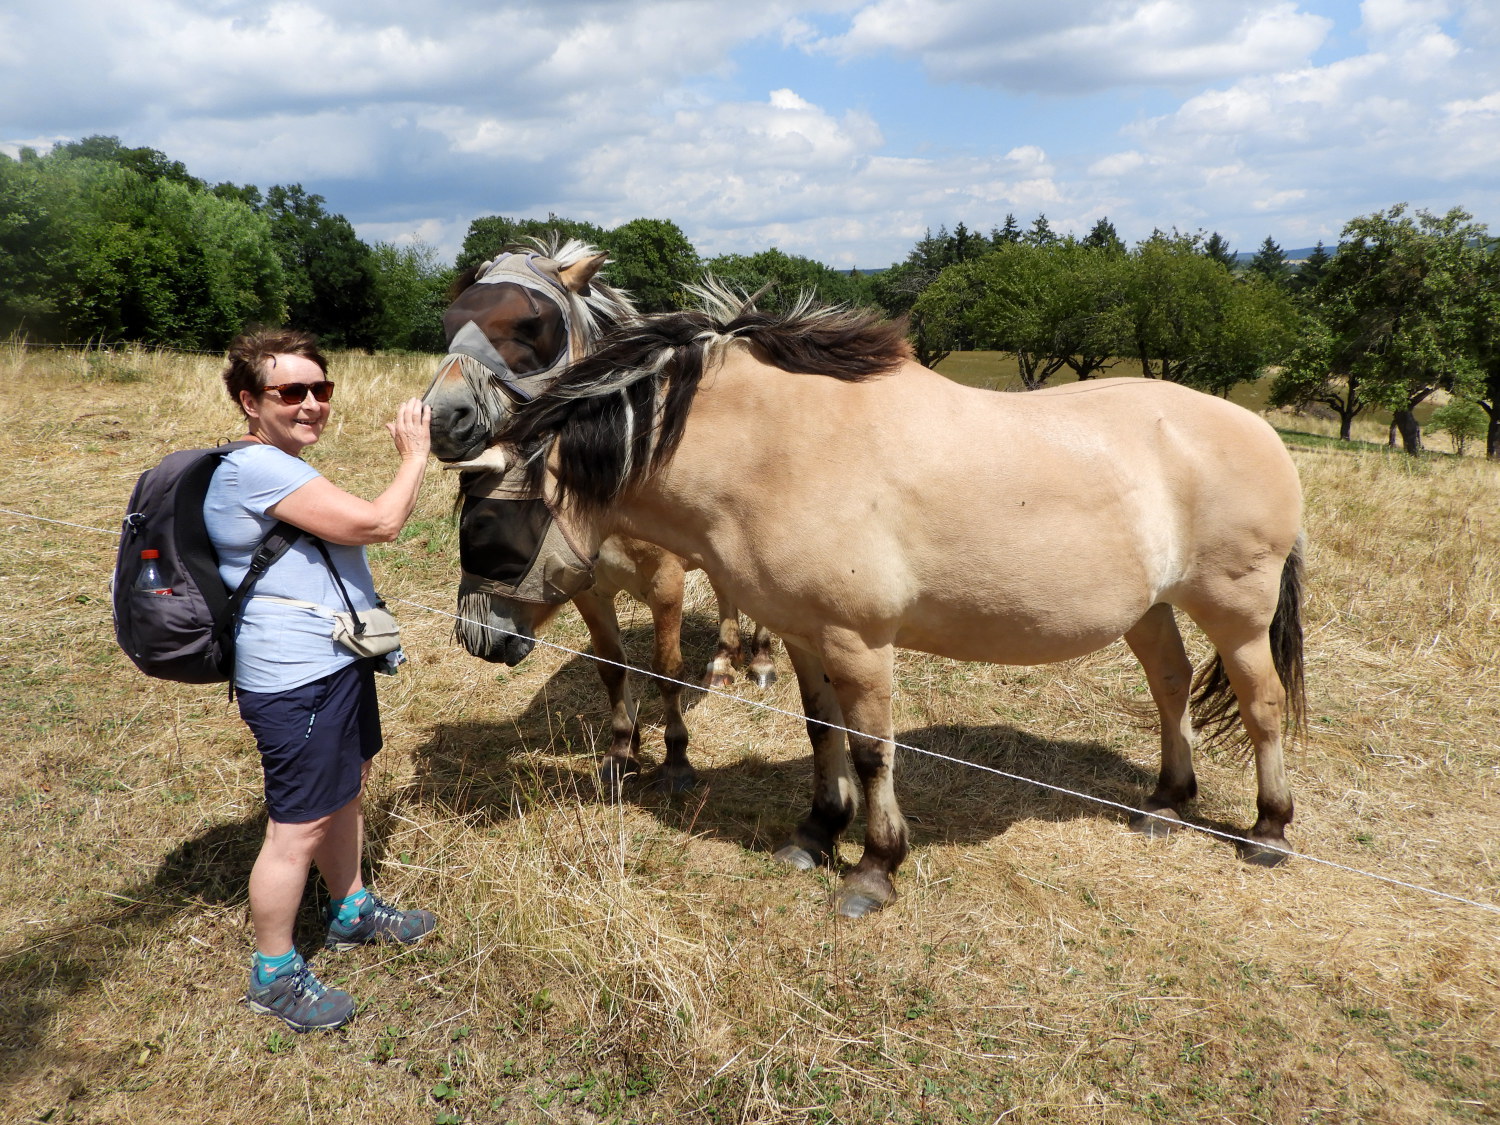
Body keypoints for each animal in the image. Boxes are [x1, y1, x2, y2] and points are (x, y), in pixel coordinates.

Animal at [423, 241, 774, 792]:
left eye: (532, 324)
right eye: (450, 321)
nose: (440, 419)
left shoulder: (666, 586)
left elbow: (665, 668)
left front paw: (676, 758)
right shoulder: (588, 590)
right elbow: (612, 667)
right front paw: (621, 752)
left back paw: (758, 659)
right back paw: (721, 659)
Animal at [453, 291, 1302, 918]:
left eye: (487, 529)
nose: (475, 638)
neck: (777, 449)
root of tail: (1261, 430)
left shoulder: (858, 641)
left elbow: (870, 749)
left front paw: (874, 865)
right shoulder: (803, 636)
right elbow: (822, 733)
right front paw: (816, 834)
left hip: (1237, 610)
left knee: (1262, 702)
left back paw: (1269, 827)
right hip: (1149, 609)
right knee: (1170, 682)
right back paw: (1166, 801)